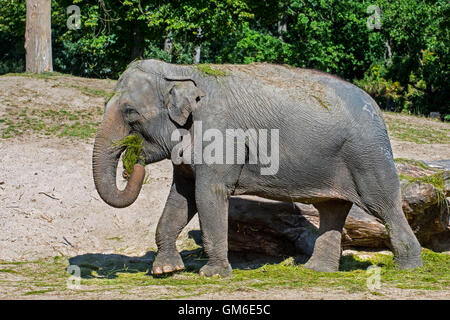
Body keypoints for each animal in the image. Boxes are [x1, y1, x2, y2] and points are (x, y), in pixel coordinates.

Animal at [93, 60, 424, 278]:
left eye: (130, 112)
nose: (131, 165)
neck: (182, 70)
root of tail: (377, 107)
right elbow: (181, 197)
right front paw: (165, 270)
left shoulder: (220, 134)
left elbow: (208, 193)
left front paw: (213, 275)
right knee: (332, 208)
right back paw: (317, 271)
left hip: (368, 155)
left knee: (384, 206)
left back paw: (408, 270)